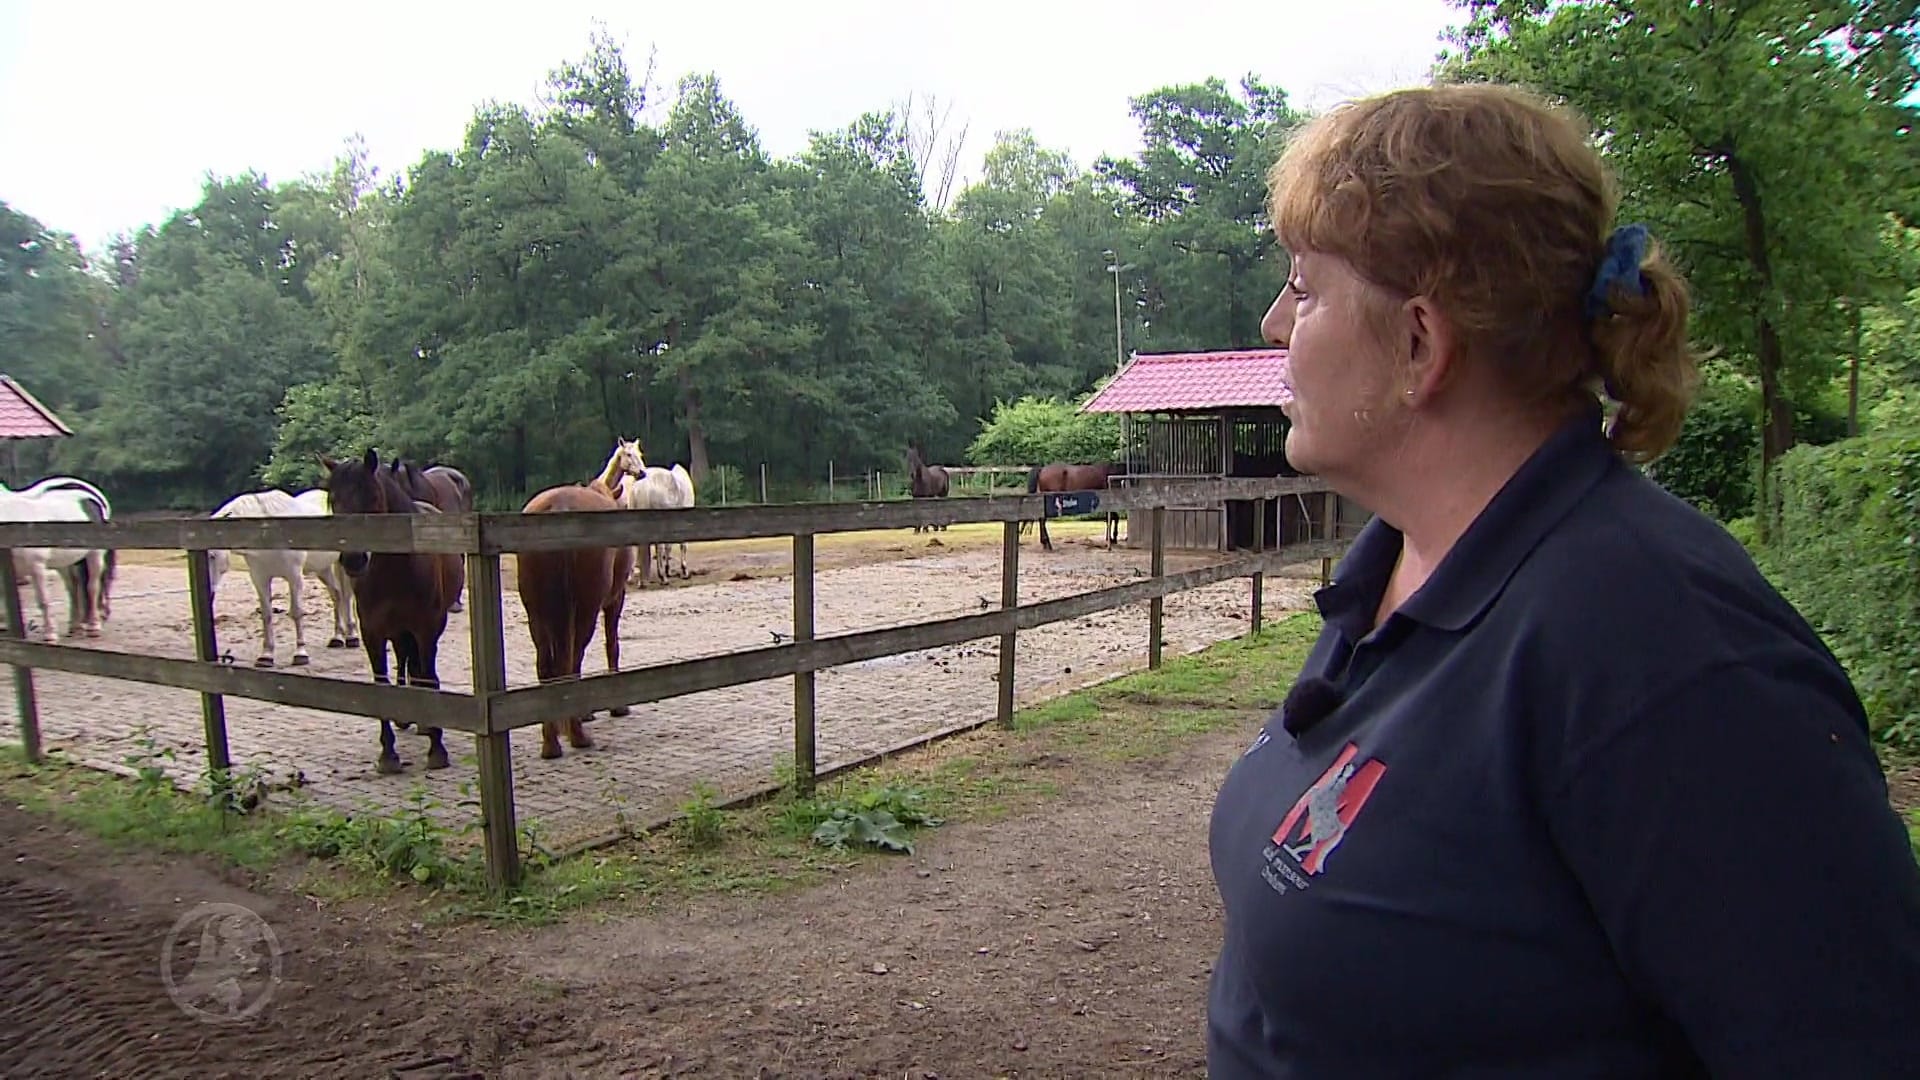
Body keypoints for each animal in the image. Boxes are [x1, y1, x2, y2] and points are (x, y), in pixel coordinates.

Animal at [0, 478, 114, 642]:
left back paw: (93, 627)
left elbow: (43, 600)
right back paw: (75, 627)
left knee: (92, 588)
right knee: (73, 589)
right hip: (65, 563)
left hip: (94, 555)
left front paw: (50, 635)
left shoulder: (37, 567)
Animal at [207, 488, 359, 667]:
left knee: (347, 596)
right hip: (323, 568)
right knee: (337, 594)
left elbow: (297, 612)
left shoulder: (294, 576)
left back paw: (352, 637)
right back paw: (337, 638)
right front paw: (266, 655)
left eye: (212, 555)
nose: (208, 594)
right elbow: (267, 615)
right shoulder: (260, 578)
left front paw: (300, 654)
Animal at [321, 448, 466, 776]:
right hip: (399, 631)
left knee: (420, 668)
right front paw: (388, 755)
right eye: (333, 500)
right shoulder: (372, 633)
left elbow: (428, 675)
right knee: (404, 658)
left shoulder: (426, 628)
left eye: (373, 497)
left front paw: (437, 749)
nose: (353, 559)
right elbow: (381, 685)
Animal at [515, 484, 634, 759]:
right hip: (584, 611)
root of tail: (559, 506)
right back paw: (577, 735)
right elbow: (612, 645)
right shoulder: (615, 598)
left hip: (538, 615)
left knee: (546, 667)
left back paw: (551, 743)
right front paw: (617, 707)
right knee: (572, 660)